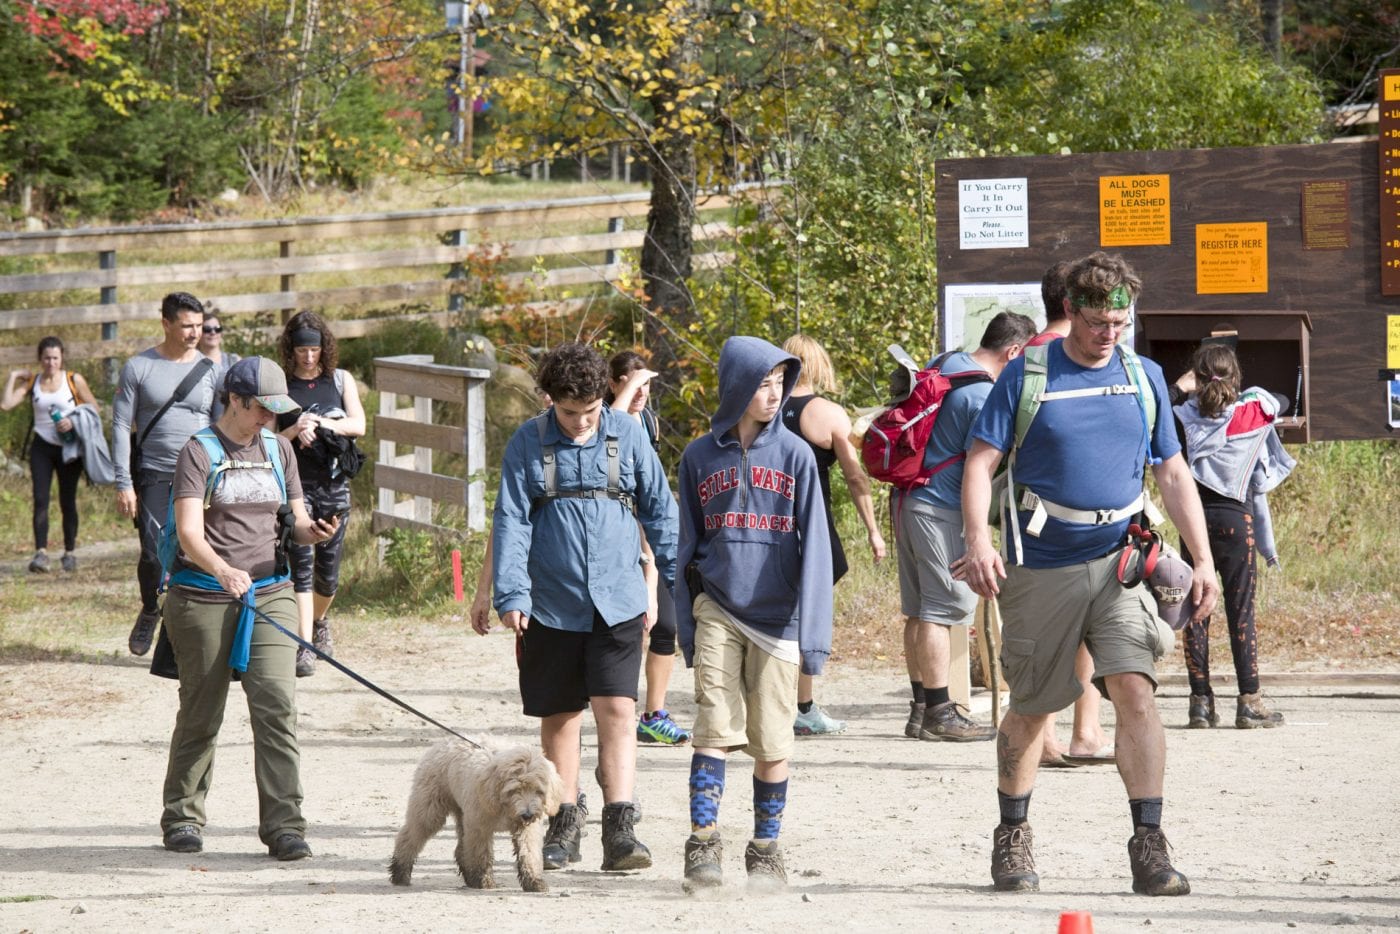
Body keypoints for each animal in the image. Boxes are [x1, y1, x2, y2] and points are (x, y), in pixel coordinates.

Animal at [389, 739, 562, 896]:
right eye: (514, 789)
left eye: (539, 791)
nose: (527, 814)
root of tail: (442, 742)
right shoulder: (479, 827)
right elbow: (481, 855)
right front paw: (484, 880)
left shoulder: (526, 830)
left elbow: (529, 854)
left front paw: (534, 882)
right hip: (429, 810)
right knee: (409, 837)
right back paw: (400, 872)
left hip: (462, 814)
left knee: (461, 850)